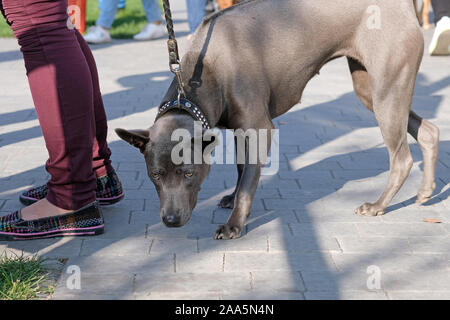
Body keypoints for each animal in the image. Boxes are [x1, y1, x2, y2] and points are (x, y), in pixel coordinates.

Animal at [116, 0, 440, 240]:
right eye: (155, 175)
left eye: (188, 174)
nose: (170, 220)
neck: (205, 71)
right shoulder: (239, 129)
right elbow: (242, 168)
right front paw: (232, 197)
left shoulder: (260, 128)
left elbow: (249, 179)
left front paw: (234, 223)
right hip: (371, 92)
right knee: (428, 131)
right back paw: (425, 191)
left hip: (387, 89)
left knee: (401, 158)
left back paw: (378, 205)